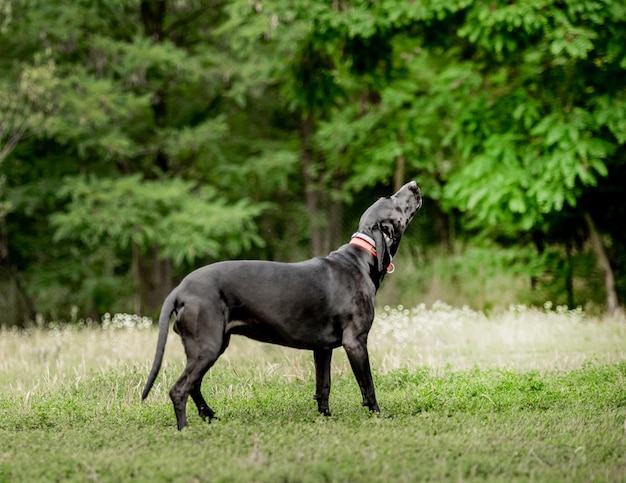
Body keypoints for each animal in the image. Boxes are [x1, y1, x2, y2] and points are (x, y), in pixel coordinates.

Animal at [143, 181, 420, 428]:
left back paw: (209, 416)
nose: (414, 184)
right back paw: (184, 428)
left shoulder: (322, 348)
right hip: (207, 347)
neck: (361, 259)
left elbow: (323, 386)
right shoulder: (356, 342)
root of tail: (180, 290)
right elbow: (368, 386)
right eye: (392, 199)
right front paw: (379, 416)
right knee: (179, 389)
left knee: (194, 385)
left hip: (211, 345)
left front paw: (325, 417)